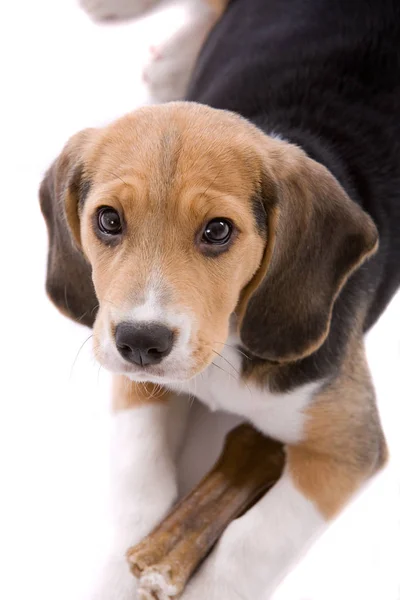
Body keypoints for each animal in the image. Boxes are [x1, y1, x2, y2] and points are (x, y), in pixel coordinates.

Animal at [39, 1, 400, 600]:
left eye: (218, 231)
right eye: (108, 220)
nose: (142, 343)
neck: (223, 350)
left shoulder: (347, 447)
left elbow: (248, 547)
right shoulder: (130, 375)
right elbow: (142, 482)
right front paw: (118, 575)